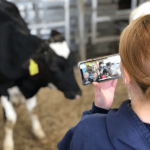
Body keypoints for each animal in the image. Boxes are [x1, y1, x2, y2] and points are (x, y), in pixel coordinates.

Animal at [0, 0, 81, 149]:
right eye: (54, 67)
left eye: (73, 62)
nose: (77, 93)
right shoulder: (2, 87)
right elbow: (10, 120)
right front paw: (8, 144)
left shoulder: (31, 87)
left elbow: (33, 110)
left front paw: (38, 133)